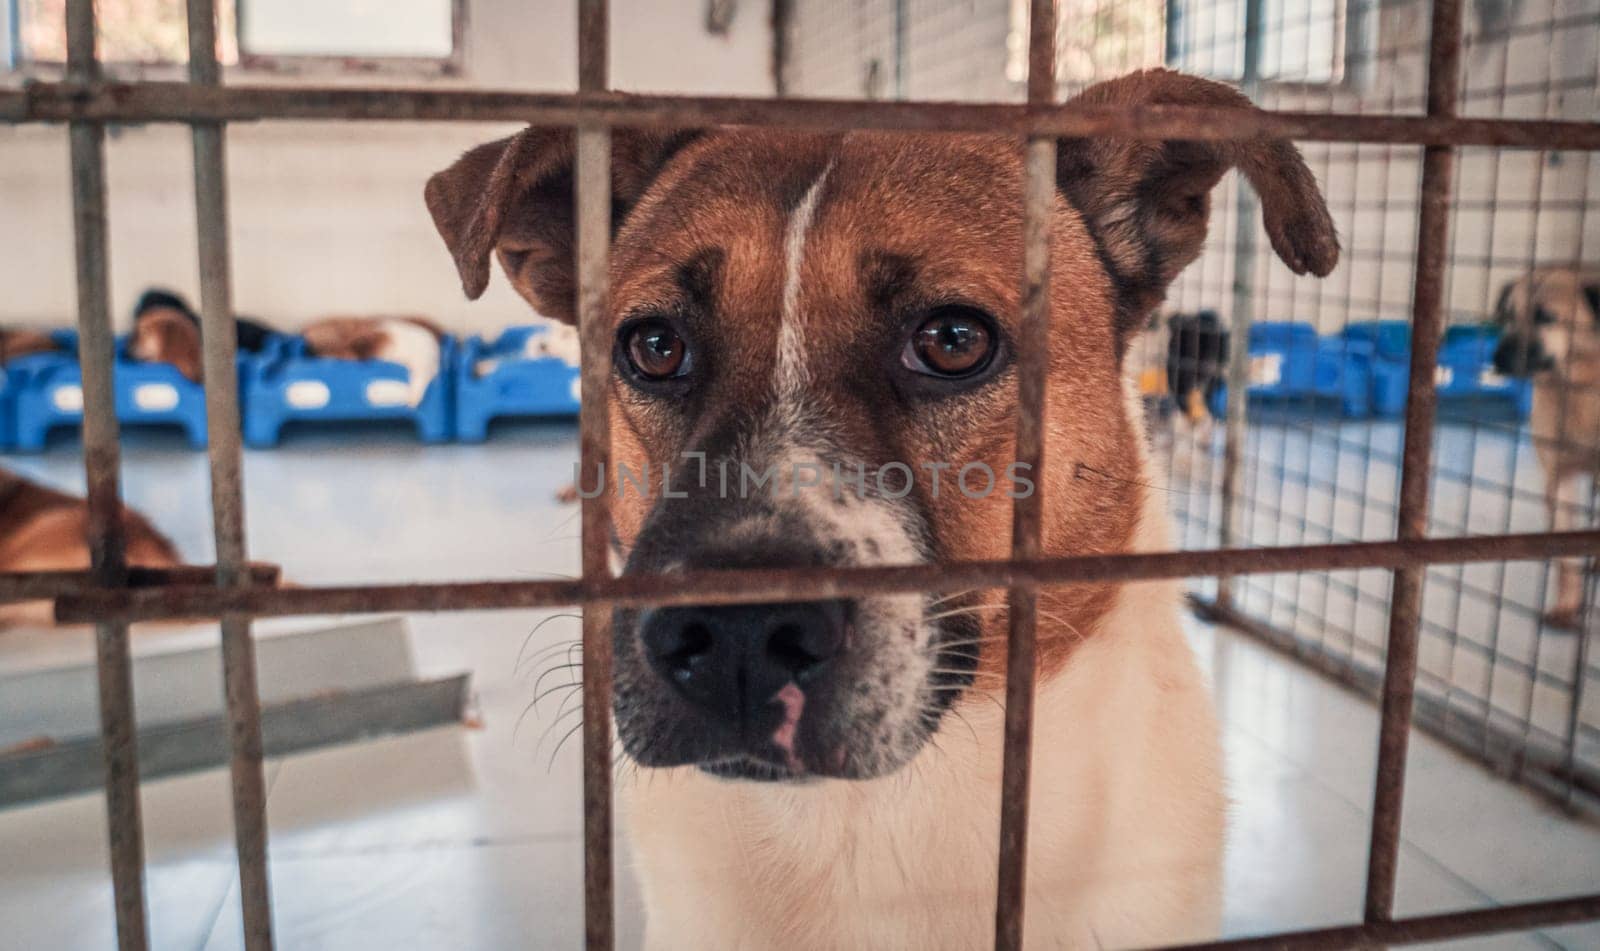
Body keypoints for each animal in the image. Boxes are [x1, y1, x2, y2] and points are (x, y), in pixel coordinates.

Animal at [1491, 264, 1593, 630]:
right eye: (1508, 315)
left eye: (1546, 317)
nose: (1497, 359)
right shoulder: (1557, 479)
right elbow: (1564, 555)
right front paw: (1566, 605)